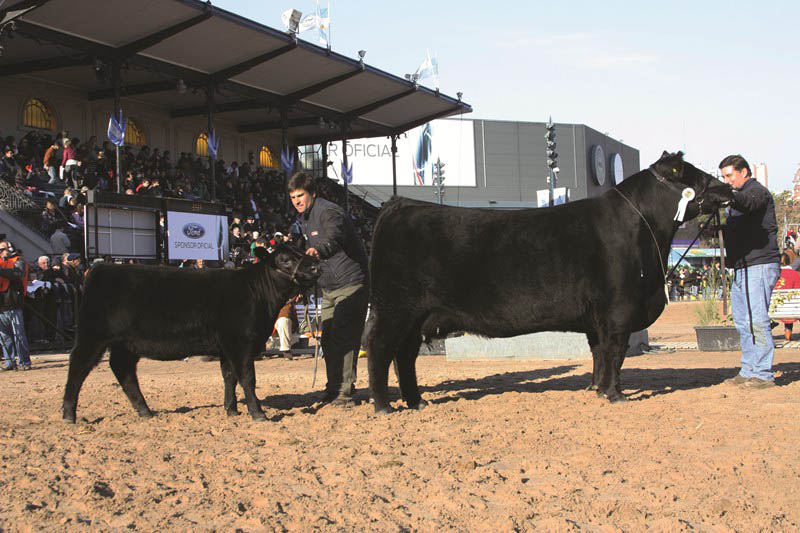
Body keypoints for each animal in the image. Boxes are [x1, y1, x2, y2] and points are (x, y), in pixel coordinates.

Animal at [61, 243, 318, 422]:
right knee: (78, 366)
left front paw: (231, 410)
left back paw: (145, 410)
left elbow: (229, 377)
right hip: (92, 336)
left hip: (125, 344)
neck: (256, 291)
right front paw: (258, 413)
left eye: (300, 250)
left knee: (123, 370)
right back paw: (69, 413)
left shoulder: (226, 346)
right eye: (285, 259)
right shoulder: (240, 341)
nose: (315, 266)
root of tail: (99, 269)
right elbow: (247, 377)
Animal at [366, 151, 736, 412]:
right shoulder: (619, 310)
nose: (728, 188)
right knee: (380, 348)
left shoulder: (597, 318)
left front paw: (596, 388)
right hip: (394, 308)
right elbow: (615, 352)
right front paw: (615, 394)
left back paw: (416, 402)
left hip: (416, 316)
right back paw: (384, 406)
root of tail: (399, 204)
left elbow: (599, 353)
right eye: (692, 174)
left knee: (405, 355)